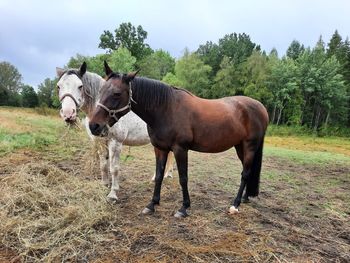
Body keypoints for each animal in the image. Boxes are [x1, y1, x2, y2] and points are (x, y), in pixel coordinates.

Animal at [55, 62, 174, 202]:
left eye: (80, 86)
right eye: (59, 86)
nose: (68, 114)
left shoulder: (115, 142)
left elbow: (114, 168)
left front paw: (113, 193)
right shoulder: (100, 141)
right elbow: (103, 165)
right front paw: (104, 185)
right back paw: (158, 177)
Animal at [89, 61, 268, 219]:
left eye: (117, 93)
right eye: (101, 90)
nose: (94, 126)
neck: (166, 109)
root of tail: (261, 107)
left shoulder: (180, 149)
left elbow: (183, 178)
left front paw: (184, 208)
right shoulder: (160, 148)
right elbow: (159, 175)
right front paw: (152, 205)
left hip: (249, 146)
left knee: (245, 173)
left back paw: (235, 204)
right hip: (239, 147)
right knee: (248, 171)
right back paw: (244, 198)